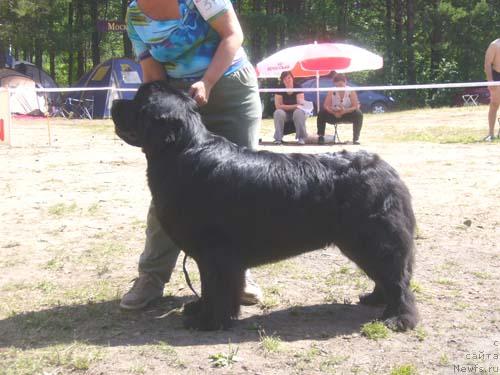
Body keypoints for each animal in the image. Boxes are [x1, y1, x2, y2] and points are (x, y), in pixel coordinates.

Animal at [112, 81, 418, 332]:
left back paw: (398, 318)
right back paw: (375, 299)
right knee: (387, 276)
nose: (115, 103)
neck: (182, 151)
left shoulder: (215, 252)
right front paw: (200, 309)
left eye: (138, 102)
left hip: (373, 239)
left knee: (398, 279)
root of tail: (387, 170)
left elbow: (215, 287)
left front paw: (208, 321)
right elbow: (210, 287)